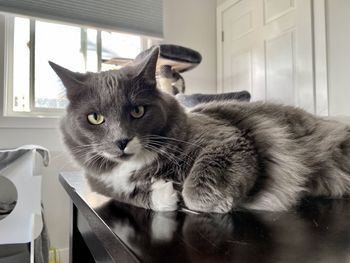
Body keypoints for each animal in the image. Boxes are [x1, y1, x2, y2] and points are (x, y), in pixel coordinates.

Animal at [49, 47, 350, 212]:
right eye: (95, 118)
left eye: (137, 111)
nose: (121, 141)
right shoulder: (100, 182)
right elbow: (127, 195)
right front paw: (165, 196)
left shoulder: (227, 139)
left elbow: (195, 191)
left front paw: (215, 203)